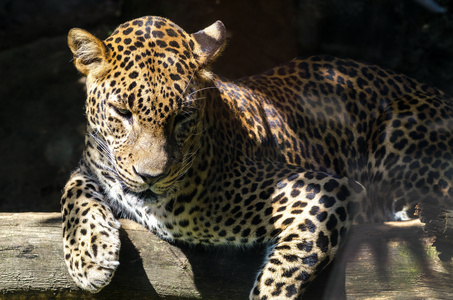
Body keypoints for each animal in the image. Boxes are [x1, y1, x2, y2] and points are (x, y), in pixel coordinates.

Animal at [61, 15, 452, 298]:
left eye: (182, 117)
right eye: (122, 112)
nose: (151, 177)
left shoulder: (325, 190)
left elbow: (287, 267)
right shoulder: (91, 165)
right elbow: (73, 190)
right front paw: (90, 255)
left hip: (402, 123)